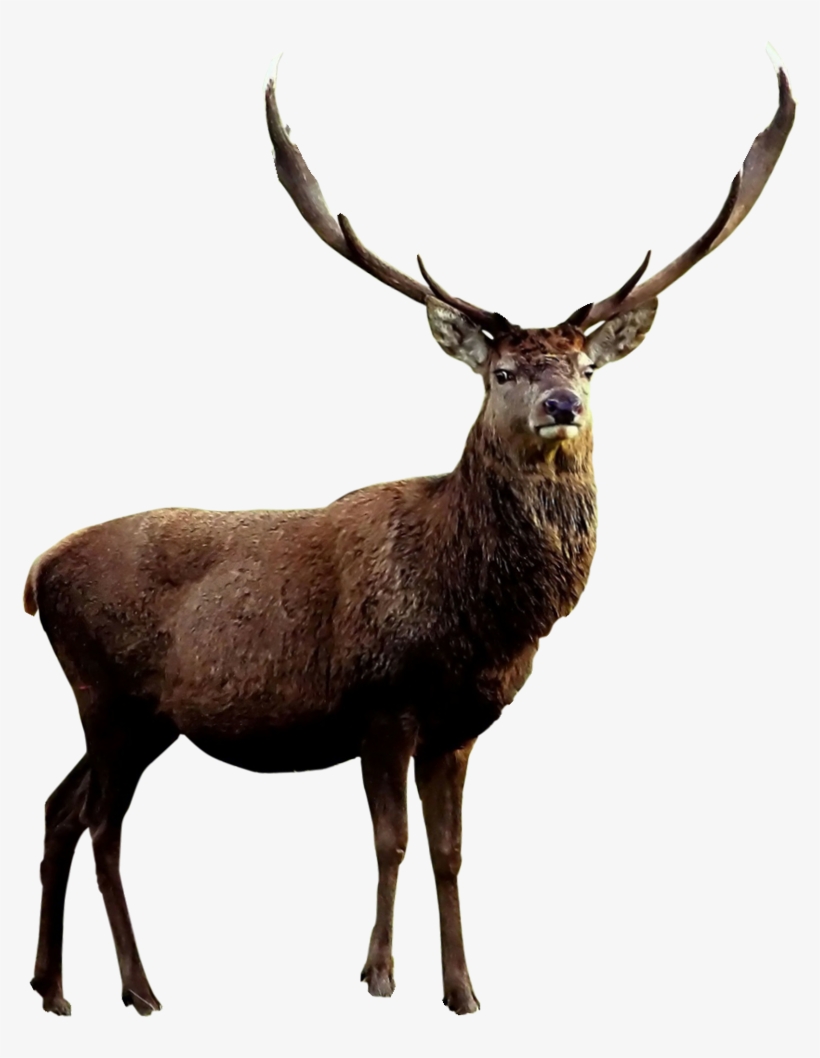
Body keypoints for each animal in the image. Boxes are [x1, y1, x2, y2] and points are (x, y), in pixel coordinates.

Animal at [25, 58, 794, 1018]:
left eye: (584, 366)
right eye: (502, 371)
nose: (561, 405)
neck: (475, 621)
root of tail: (36, 572)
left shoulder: (461, 725)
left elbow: (449, 853)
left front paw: (463, 990)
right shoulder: (380, 701)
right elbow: (389, 842)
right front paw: (380, 976)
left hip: (141, 715)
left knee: (59, 809)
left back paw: (52, 988)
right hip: (109, 694)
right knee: (102, 825)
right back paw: (139, 989)